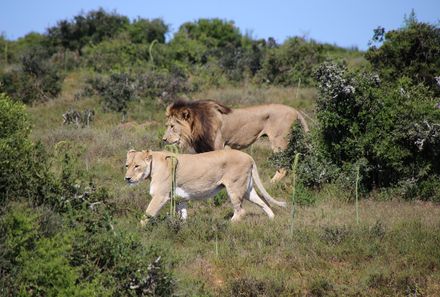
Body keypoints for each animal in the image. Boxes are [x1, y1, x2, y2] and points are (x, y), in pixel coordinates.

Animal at [125, 148, 288, 224]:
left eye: (137, 166)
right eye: (127, 165)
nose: (127, 178)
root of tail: (248, 156)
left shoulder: (160, 196)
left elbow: (147, 214)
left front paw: (139, 231)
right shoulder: (180, 198)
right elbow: (183, 215)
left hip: (234, 188)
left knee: (241, 211)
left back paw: (227, 224)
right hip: (247, 189)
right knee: (263, 202)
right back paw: (272, 219)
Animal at [162, 99, 310, 182]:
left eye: (172, 126)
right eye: (167, 125)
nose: (163, 139)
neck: (196, 127)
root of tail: (295, 110)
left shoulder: (219, 146)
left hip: (279, 141)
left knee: (283, 167)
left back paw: (271, 184)